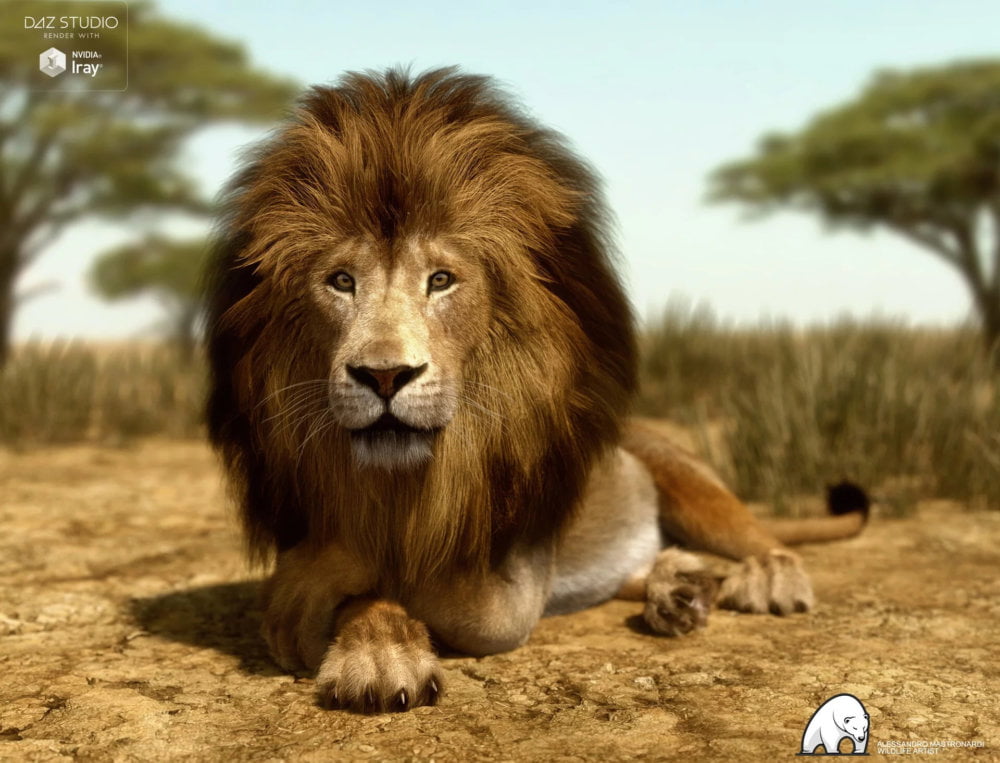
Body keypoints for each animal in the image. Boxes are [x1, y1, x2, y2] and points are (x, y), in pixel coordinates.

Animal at [205, 67, 868, 713]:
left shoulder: (510, 590)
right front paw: (372, 646)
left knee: (762, 539)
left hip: (686, 481)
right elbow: (361, 595)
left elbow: (415, 579)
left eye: (441, 281)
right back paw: (679, 585)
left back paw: (759, 580)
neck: (410, 483)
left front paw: (328, 576)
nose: (384, 376)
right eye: (341, 281)